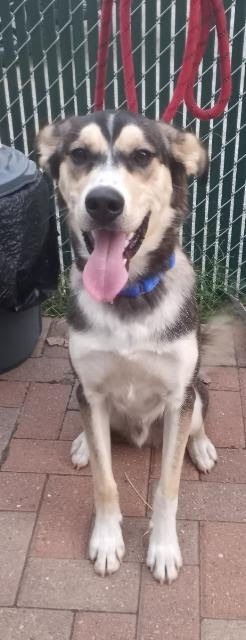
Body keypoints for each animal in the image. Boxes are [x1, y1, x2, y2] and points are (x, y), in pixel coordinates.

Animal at [37, 111, 216, 584]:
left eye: (142, 156)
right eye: (79, 154)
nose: (103, 202)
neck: (128, 297)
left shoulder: (177, 396)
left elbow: (168, 486)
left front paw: (164, 549)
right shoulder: (92, 391)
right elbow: (104, 481)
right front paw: (105, 541)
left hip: (196, 392)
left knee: (197, 421)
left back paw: (202, 447)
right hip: (82, 394)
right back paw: (83, 443)